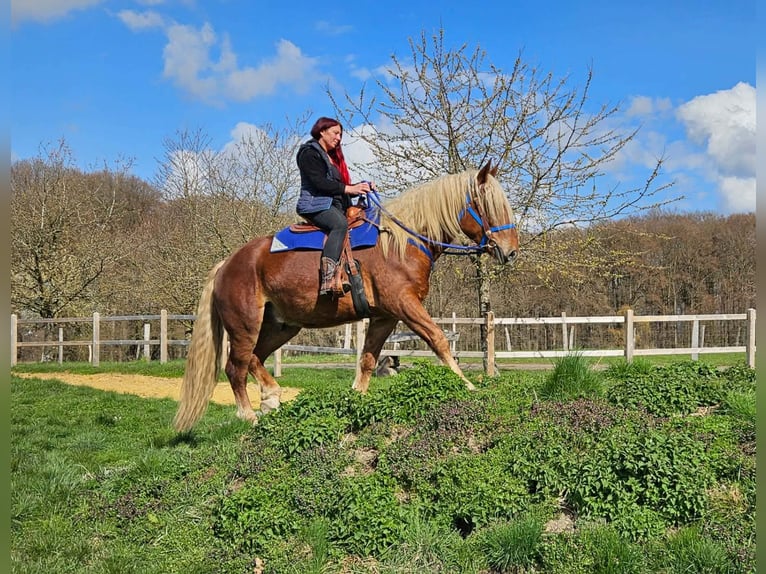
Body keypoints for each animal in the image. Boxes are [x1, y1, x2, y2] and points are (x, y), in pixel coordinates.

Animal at [173, 161, 519, 432]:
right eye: (489, 206)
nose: (511, 251)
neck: (400, 242)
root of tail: (226, 264)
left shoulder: (385, 316)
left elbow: (367, 360)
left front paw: (356, 401)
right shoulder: (405, 305)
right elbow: (439, 340)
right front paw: (468, 386)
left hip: (281, 325)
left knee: (255, 358)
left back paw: (272, 399)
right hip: (245, 325)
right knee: (236, 368)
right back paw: (249, 416)